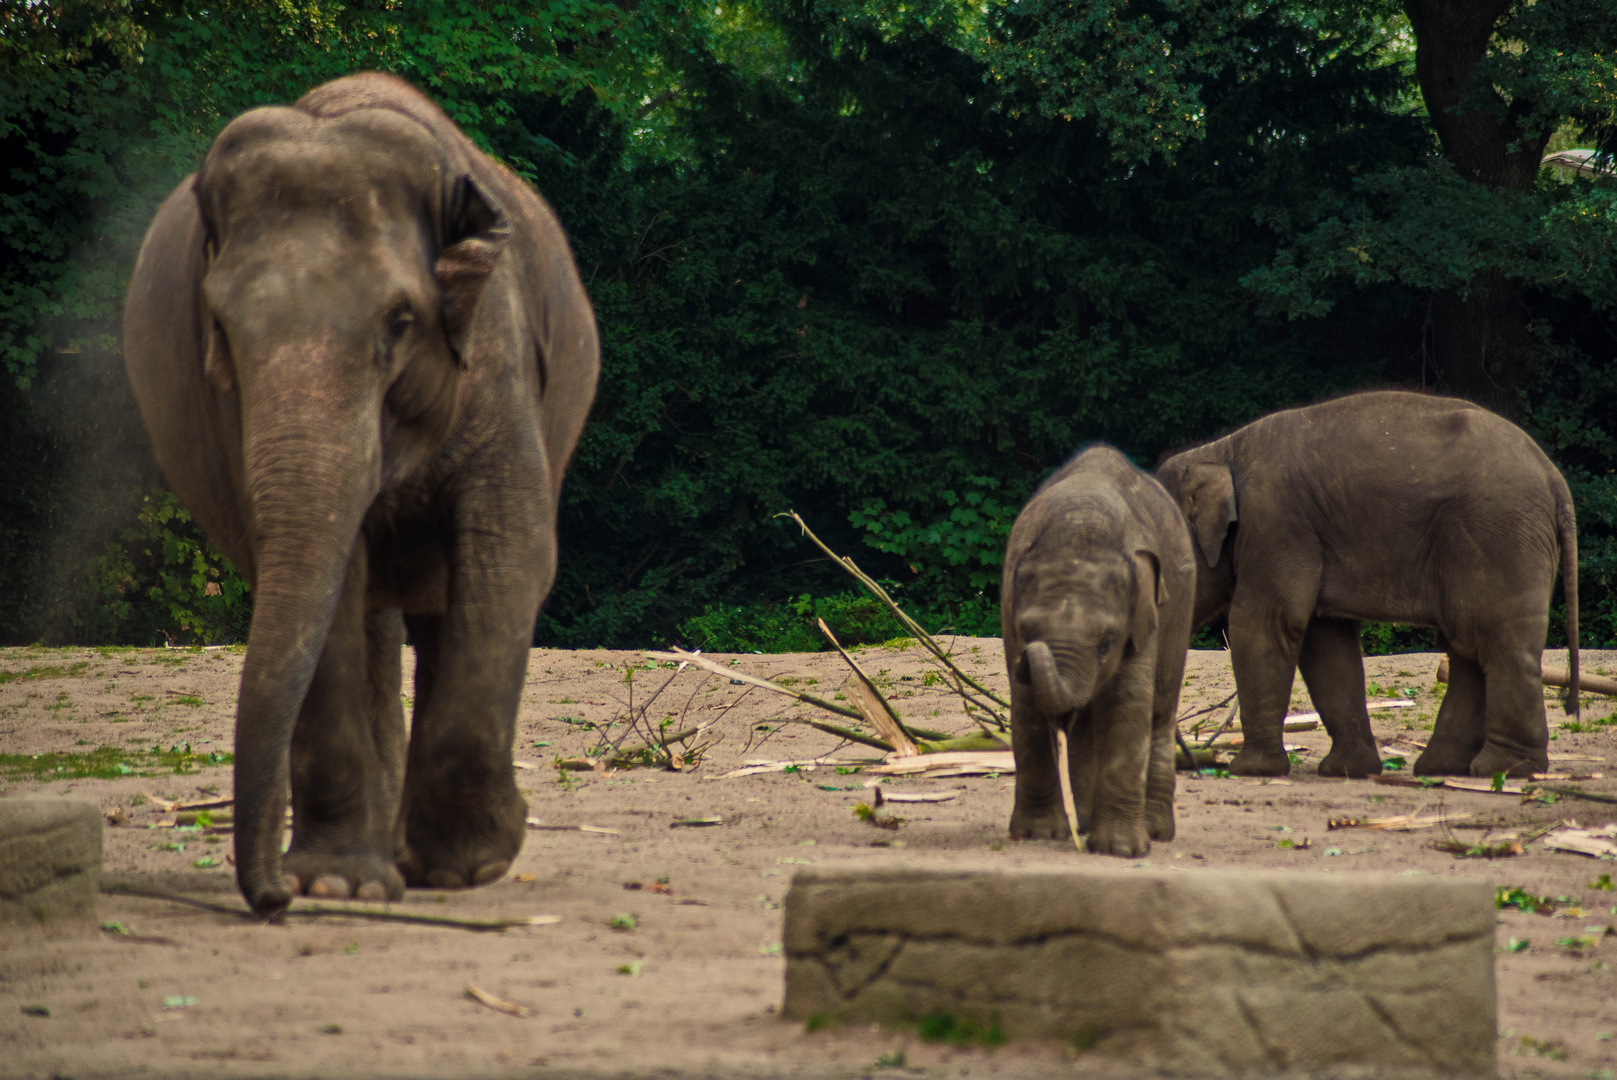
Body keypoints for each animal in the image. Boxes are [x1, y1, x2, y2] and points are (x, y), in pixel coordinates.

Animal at [121, 71, 601, 918]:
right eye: (220, 327)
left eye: (401, 321)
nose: (271, 897)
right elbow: (329, 586)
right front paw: (338, 882)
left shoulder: (497, 361)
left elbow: (509, 554)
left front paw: (469, 863)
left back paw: (421, 859)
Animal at [996, 442, 1203, 853]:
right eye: (1025, 630)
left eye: (1108, 642)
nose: (1030, 655)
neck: (1078, 523)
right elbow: (1025, 707)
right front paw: (1038, 835)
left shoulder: (1143, 616)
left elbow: (1129, 700)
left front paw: (1121, 850)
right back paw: (1083, 823)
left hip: (1182, 608)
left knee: (1160, 709)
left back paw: (1155, 831)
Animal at [1157, 392, 1571, 779]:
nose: (1190, 759)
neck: (1221, 450)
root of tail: (1553, 477)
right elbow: (1325, 642)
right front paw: (1345, 770)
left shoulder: (1276, 526)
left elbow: (1263, 625)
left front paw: (1249, 769)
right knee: (1467, 646)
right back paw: (1442, 768)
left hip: (1498, 536)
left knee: (1498, 642)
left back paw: (1503, 770)